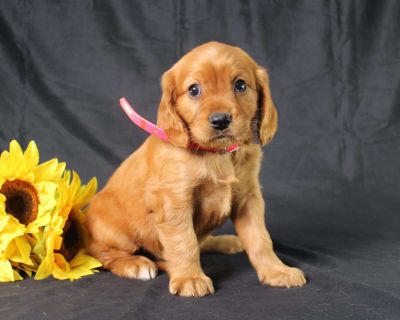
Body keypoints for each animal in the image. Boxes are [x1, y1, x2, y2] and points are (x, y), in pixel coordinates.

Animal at [86, 41, 306, 296]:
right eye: (193, 90)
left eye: (240, 85)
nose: (220, 121)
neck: (217, 154)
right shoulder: (175, 202)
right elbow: (185, 242)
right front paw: (190, 278)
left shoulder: (248, 199)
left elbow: (261, 239)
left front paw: (276, 270)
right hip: (113, 233)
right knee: (103, 255)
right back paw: (136, 264)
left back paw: (224, 242)